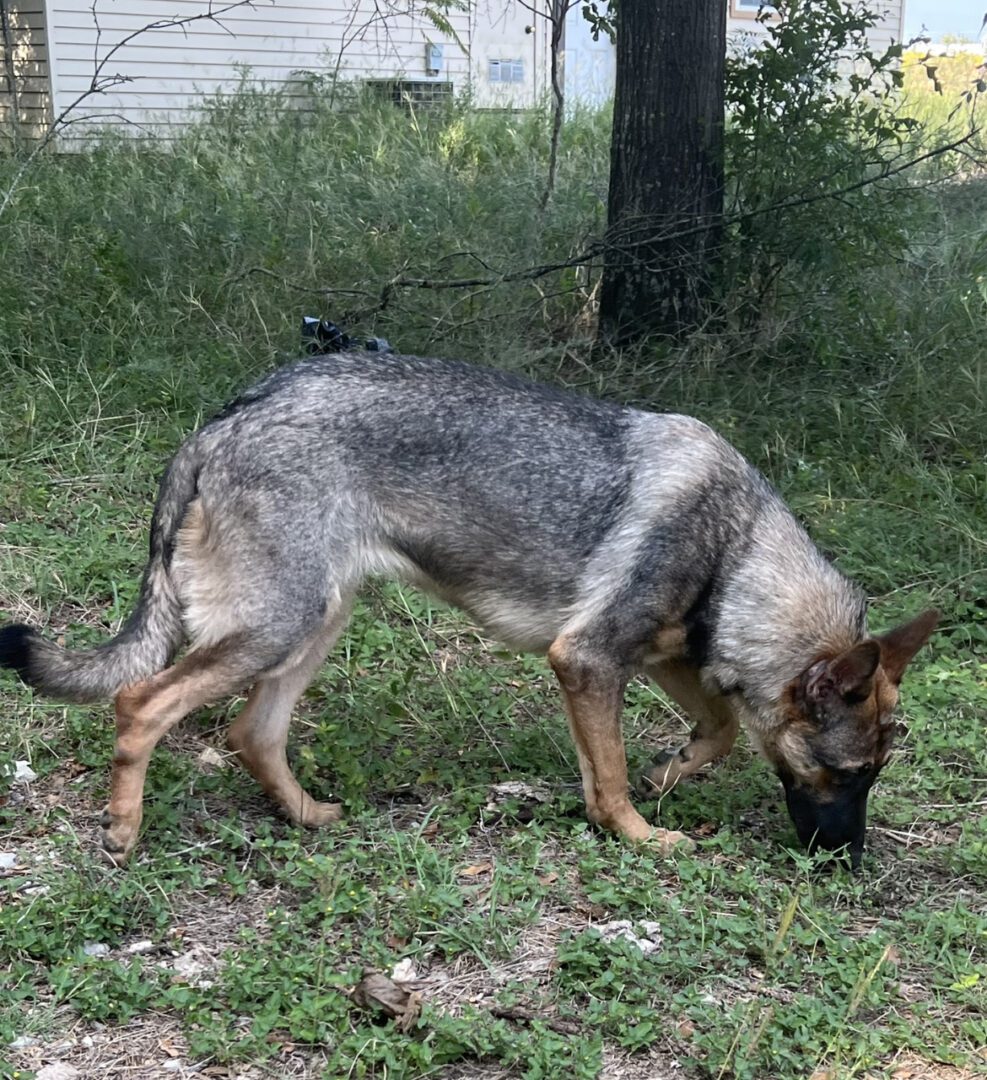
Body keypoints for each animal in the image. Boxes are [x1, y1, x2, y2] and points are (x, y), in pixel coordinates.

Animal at [0, 354, 933, 868]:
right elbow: (616, 774)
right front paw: (636, 832)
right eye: (847, 774)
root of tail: (225, 420)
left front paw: (666, 777)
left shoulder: (661, 655)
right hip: (276, 627)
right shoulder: (588, 659)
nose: (846, 864)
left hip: (314, 625)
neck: (734, 546)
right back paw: (123, 832)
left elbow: (717, 730)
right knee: (139, 702)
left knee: (249, 732)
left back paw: (308, 816)